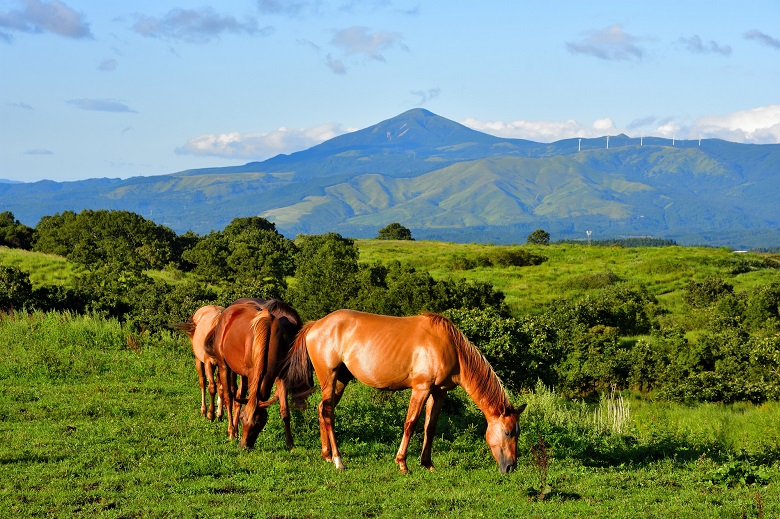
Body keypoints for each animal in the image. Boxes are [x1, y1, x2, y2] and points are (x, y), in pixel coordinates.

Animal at [212, 300, 300, 450]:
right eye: (243, 418)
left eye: (259, 423)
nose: (244, 446)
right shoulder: (252, 375)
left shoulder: (281, 376)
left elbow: (285, 411)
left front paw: (290, 444)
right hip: (224, 365)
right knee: (229, 397)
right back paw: (231, 432)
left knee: (238, 396)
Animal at [284, 310, 524, 474]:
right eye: (508, 432)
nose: (511, 467)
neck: (449, 346)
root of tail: (316, 325)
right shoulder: (421, 388)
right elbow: (411, 424)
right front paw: (402, 463)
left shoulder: (439, 392)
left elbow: (430, 427)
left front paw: (428, 463)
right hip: (329, 378)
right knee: (327, 412)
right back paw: (338, 460)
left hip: (341, 379)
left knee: (323, 409)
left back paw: (325, 455)